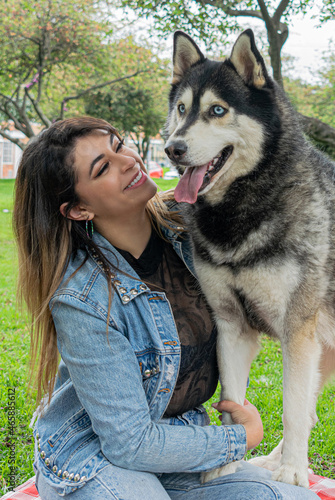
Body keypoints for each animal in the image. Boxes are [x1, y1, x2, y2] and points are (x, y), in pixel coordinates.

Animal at [165, 29, 335, 486]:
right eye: (182, 109)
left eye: (217, 110)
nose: (172, 148)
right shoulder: (232, 326)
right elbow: (233, 406)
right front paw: (225, 466)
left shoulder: (297, 331)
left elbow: (293, 409)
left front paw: (293, 473)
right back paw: (271, 462)